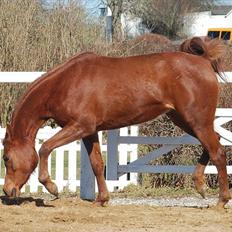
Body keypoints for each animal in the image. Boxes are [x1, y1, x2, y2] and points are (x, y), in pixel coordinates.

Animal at [2, 37, 231, 208]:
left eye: (6, 158)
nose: (7, 191)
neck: (65, 83)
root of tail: (203, 61)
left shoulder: (80, 126)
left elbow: (45, 148)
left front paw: (51, 186)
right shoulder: (89, 131)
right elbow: (96, 163)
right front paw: (101, 199)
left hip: (197, 121)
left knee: (218, 152)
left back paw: (221, 200)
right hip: (185, 121)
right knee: (215, 143)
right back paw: (200, 185)